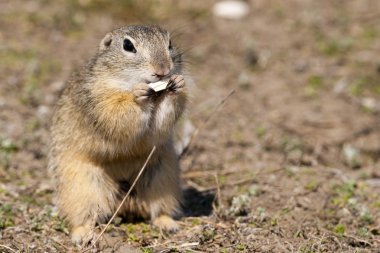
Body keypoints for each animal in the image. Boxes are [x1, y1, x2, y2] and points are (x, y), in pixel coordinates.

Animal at [48, 25, 189, 243]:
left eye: (170, 43)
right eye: (128, 45)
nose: (163, 70)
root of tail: (125, 204)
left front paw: (178, 84)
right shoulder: (100, 99)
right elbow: (117, 113)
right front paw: (138, 95)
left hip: (163, 178)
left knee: (158, 209)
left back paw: (168, 224)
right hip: (82, 187)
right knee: (82, 216)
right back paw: (83, 235)